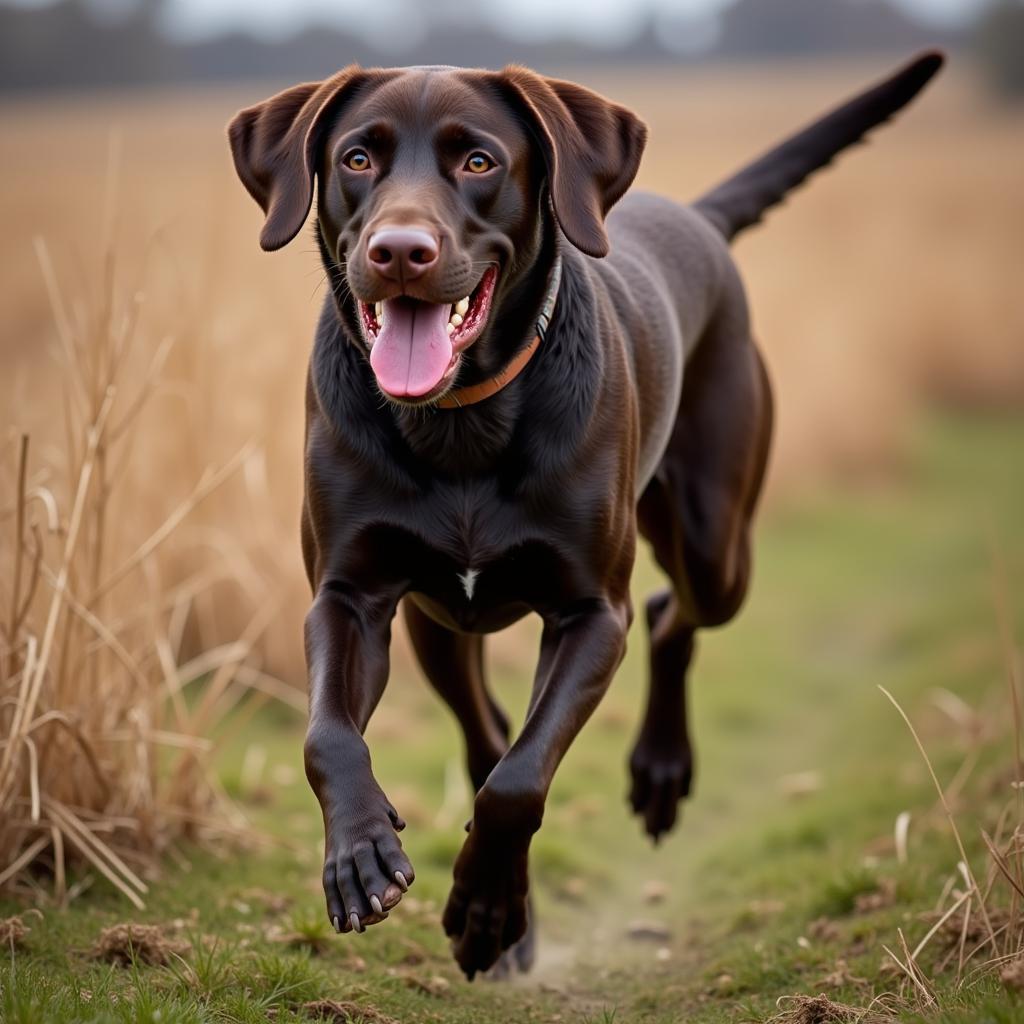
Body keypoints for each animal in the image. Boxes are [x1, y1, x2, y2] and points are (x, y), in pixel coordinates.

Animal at [230, 48, 942, 974]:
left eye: (479, 161)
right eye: (356, 158)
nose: (399, 252)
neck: (460, 419)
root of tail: (698, 217)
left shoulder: (589, 614)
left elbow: (520, 780)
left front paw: (485, 910)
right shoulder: (349, 596)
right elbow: (331, 737)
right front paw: (363, 855)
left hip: (715, 544)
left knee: (670, 613)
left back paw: (658, 773)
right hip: (435, 620)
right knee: (487, 725)